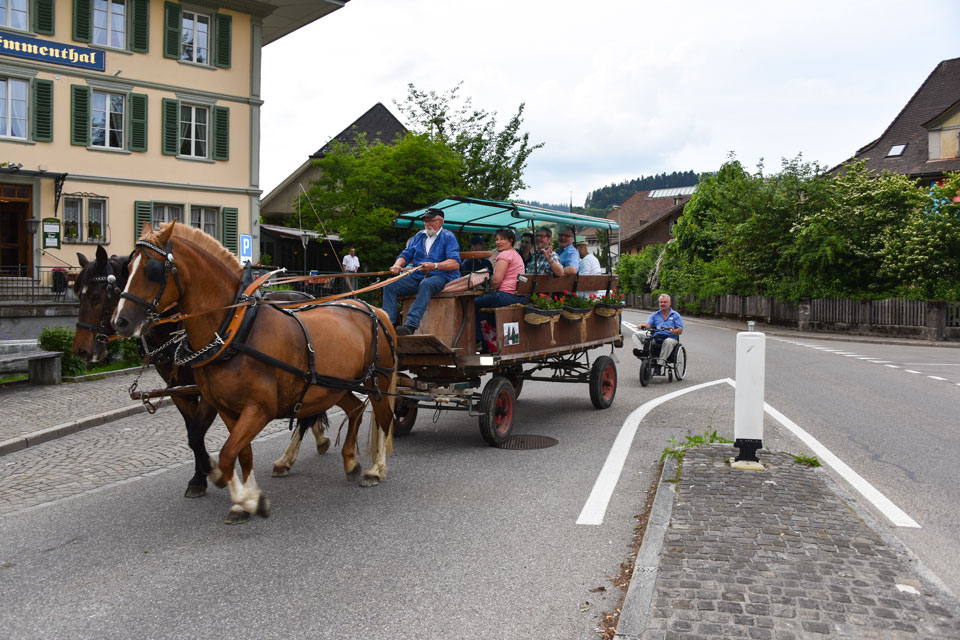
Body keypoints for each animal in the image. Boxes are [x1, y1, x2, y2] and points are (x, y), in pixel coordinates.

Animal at [70, 242, 330, 498]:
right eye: (77, 293)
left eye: (96, 295)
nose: (82, 350)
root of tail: (306, 294)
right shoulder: (180, 390)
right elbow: (192, 432)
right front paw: (200, 477)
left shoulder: (208, 392)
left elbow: (196, 432)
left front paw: (209, 474)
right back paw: (316, 441)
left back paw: (288, 458)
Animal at [112, 222, 398, 524]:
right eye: (128, 268)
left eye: (152, 270)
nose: (120, 321)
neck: (236, 330)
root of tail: (372, 307)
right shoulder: (226, 408)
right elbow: (241, 452)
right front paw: (243, 497)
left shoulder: (259, 409)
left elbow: (228, 453)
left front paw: (245, 498)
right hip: (332, 387)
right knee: (355, 409)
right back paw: (350, 461)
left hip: (378, 381)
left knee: (383, 418)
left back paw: (375, 469)